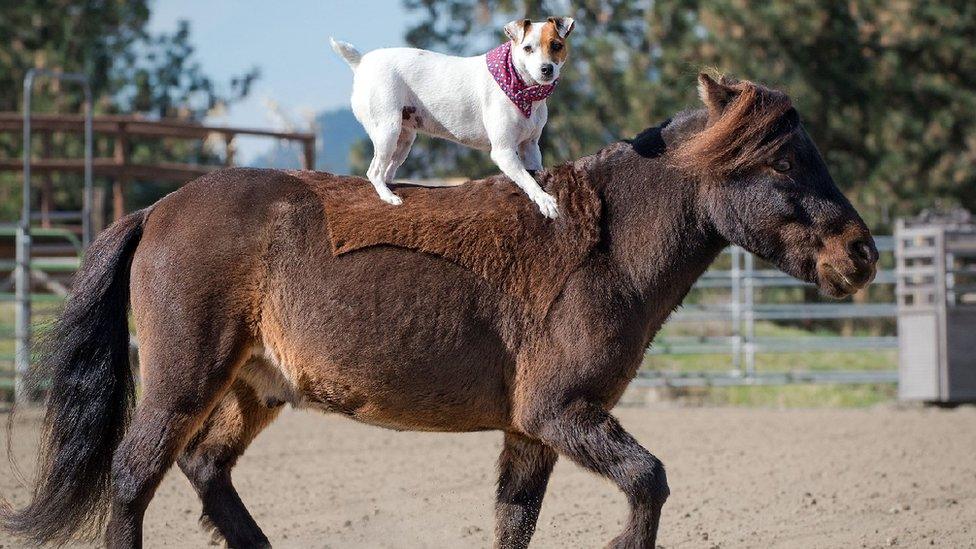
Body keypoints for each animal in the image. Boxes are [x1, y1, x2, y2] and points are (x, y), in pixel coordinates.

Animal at [0, 74, 880, 548]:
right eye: (779, 161)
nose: (862, 252)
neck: (596, 243)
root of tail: (158, 210)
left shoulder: (532, 429)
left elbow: (516, 519)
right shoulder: (560, 410)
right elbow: (648, 481)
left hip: (254, 387)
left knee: (205, 468)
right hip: (184, 381)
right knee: (133, 476)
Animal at [330, 15, 572, 216]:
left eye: (556, 45)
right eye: (528, 48)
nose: (546, 69)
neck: (524, 89)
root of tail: (362, 62)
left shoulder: (529, 147)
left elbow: (535, 174)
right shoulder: (504, 151)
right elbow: (528, 180)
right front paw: (545, 201)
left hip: (403, 140)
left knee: (387, 172)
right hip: (387, 131)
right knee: (374, 172)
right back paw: (388, 197)